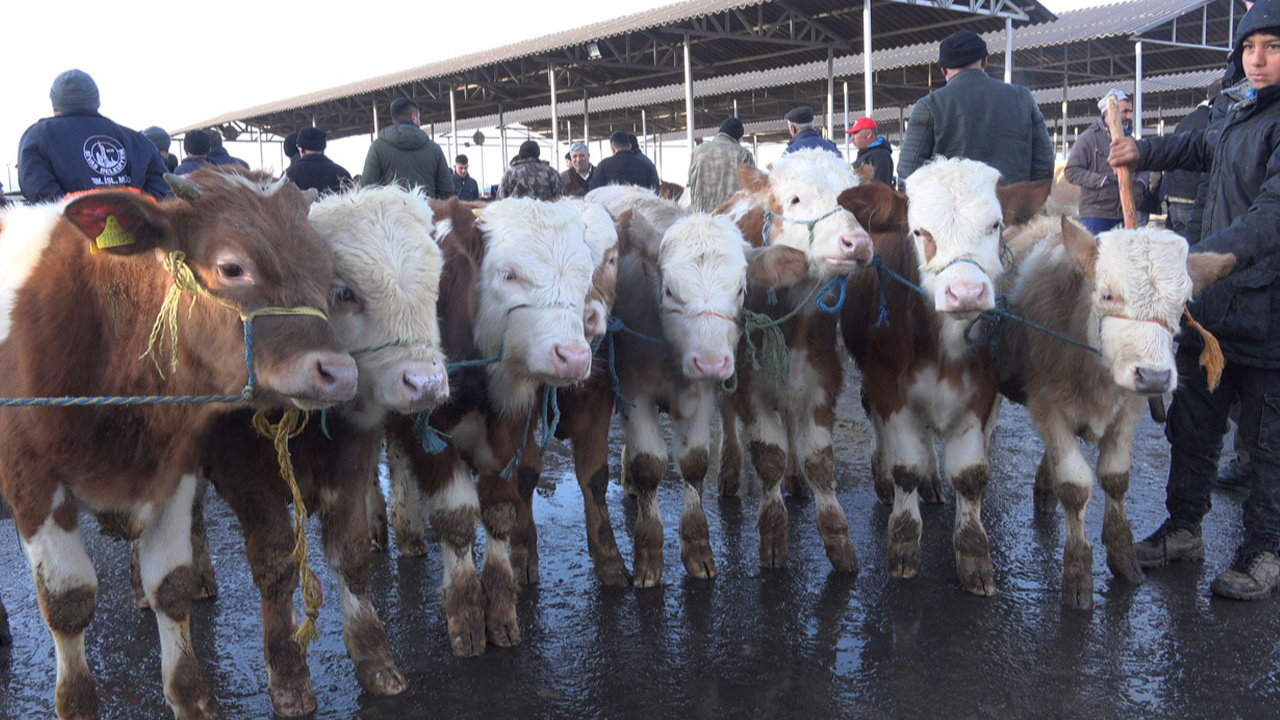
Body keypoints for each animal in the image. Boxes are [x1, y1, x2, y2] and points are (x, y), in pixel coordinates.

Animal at [0, 169, 358, 717]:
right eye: (232, 267)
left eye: (329, 269)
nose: (339, 372)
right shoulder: (33, 483)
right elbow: (68, 603)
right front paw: (77, 703)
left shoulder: (175, 470)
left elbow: (171, 587)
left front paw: (191, 698)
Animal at [381, 194, 596, 650]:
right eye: (509, 274)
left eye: (585, 278)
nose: (573, 357)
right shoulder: (430, 433)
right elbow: (458, 518)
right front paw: (465, 615)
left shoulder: (510, 429)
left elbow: (500, 508)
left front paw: (499, 609)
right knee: (396, 459)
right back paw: (405, 528)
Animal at [716, 147, 875, 571]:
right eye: (795, 199)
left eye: (852, 202)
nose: (856, 243)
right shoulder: (749, 383)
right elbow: (768, 455)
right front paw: (773, 536)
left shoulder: (823, 376)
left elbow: (818, 459)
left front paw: (839, 541)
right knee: (726, 418)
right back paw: (729, 472)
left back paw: (796, 480)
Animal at [839, 158, 1049, 594]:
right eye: (919, 231)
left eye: (995, 225)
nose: (966, 292)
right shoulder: (888, 382)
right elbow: (906, 466)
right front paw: (903, 542)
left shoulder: (982, 390)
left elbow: (970, 474)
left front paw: (974, 554)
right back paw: (882, 476)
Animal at [993, 217, 1233, 604]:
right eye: (1107, 294)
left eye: (1183, 303)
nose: (1154, 376)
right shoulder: (1047, 404)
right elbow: (1074, 485)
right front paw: (1078, 573)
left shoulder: (1129, 408)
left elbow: (1116, 478)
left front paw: (1123, 557)